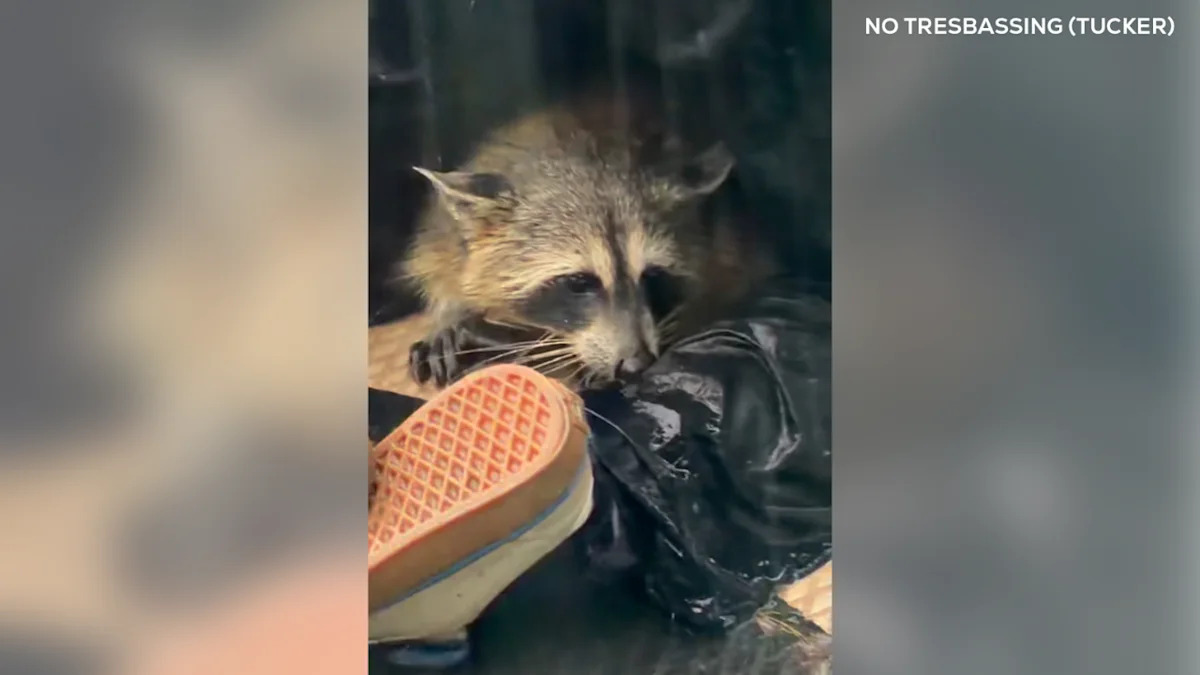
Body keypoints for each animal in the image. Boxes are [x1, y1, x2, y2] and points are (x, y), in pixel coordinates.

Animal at [400, 92, 774, 389]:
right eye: (579, 282)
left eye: (652, 277)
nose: (636, 364)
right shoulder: (444, 236)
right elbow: (441, 265)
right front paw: (451, 313)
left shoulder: (729, 244)